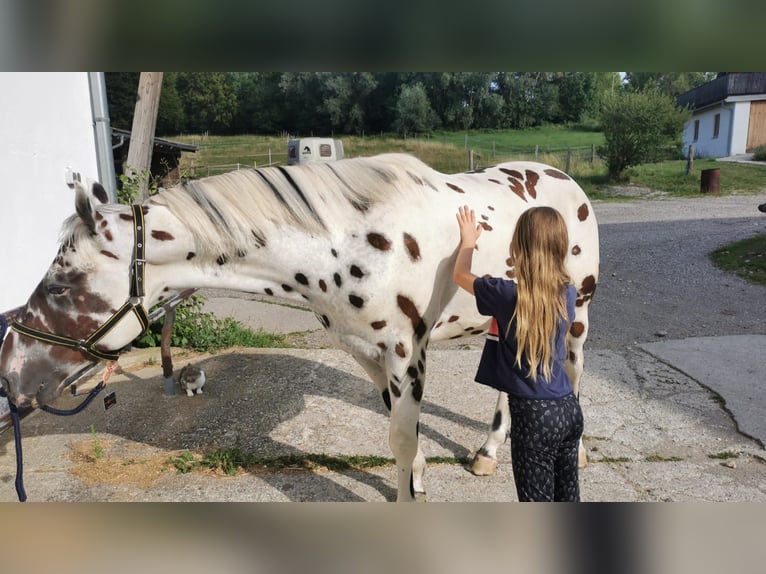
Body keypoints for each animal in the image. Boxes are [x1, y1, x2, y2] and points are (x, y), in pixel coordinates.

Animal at [0, 155, 600, 502]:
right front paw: (417, 482)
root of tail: (564, 177)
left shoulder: (407, 351)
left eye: (61, 285)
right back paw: (488, 451)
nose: (9, 370)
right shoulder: (366, 352)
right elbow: (401, 438)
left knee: (572, 372)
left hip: (576, 317)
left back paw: (576, 451)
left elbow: (402, 438)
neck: (348, 241)